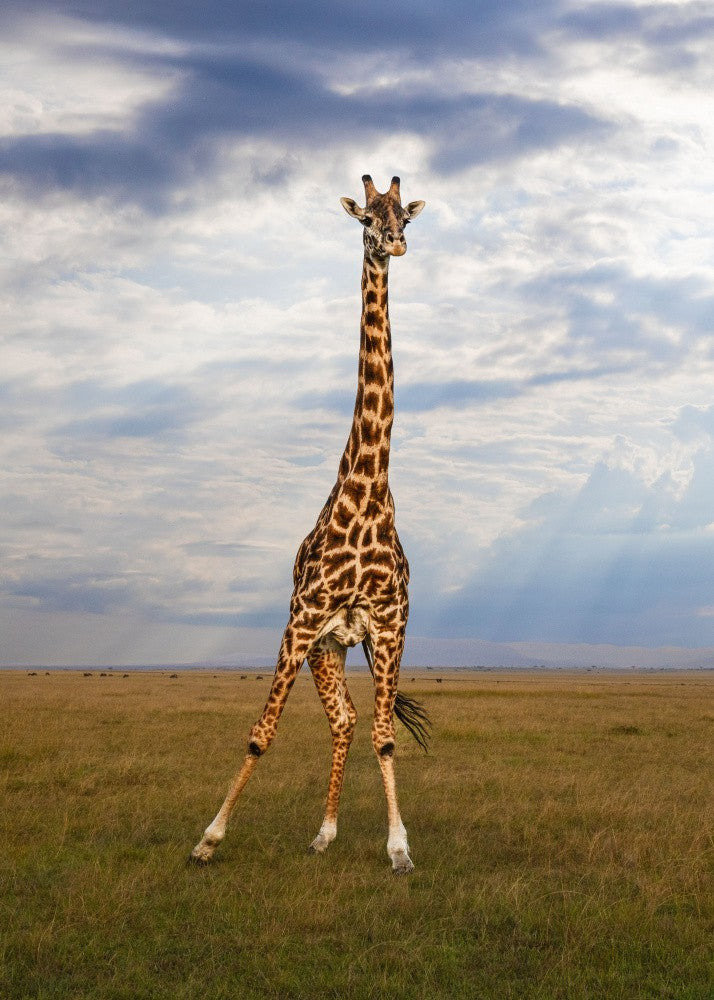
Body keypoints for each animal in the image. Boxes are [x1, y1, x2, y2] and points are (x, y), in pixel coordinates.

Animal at [190, 174, 428, 874]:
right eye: (366, 219)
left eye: (406, 216)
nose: (395, 244)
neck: (369, 496)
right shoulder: (299, 624)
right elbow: (260, 734)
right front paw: (208, 839)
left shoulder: (390, 629)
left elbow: (385, 737)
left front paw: (399, 849)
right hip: (323, 645)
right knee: (337, 720)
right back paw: (318, 830)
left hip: (342, 646)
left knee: (349, 721)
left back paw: (326, 831)